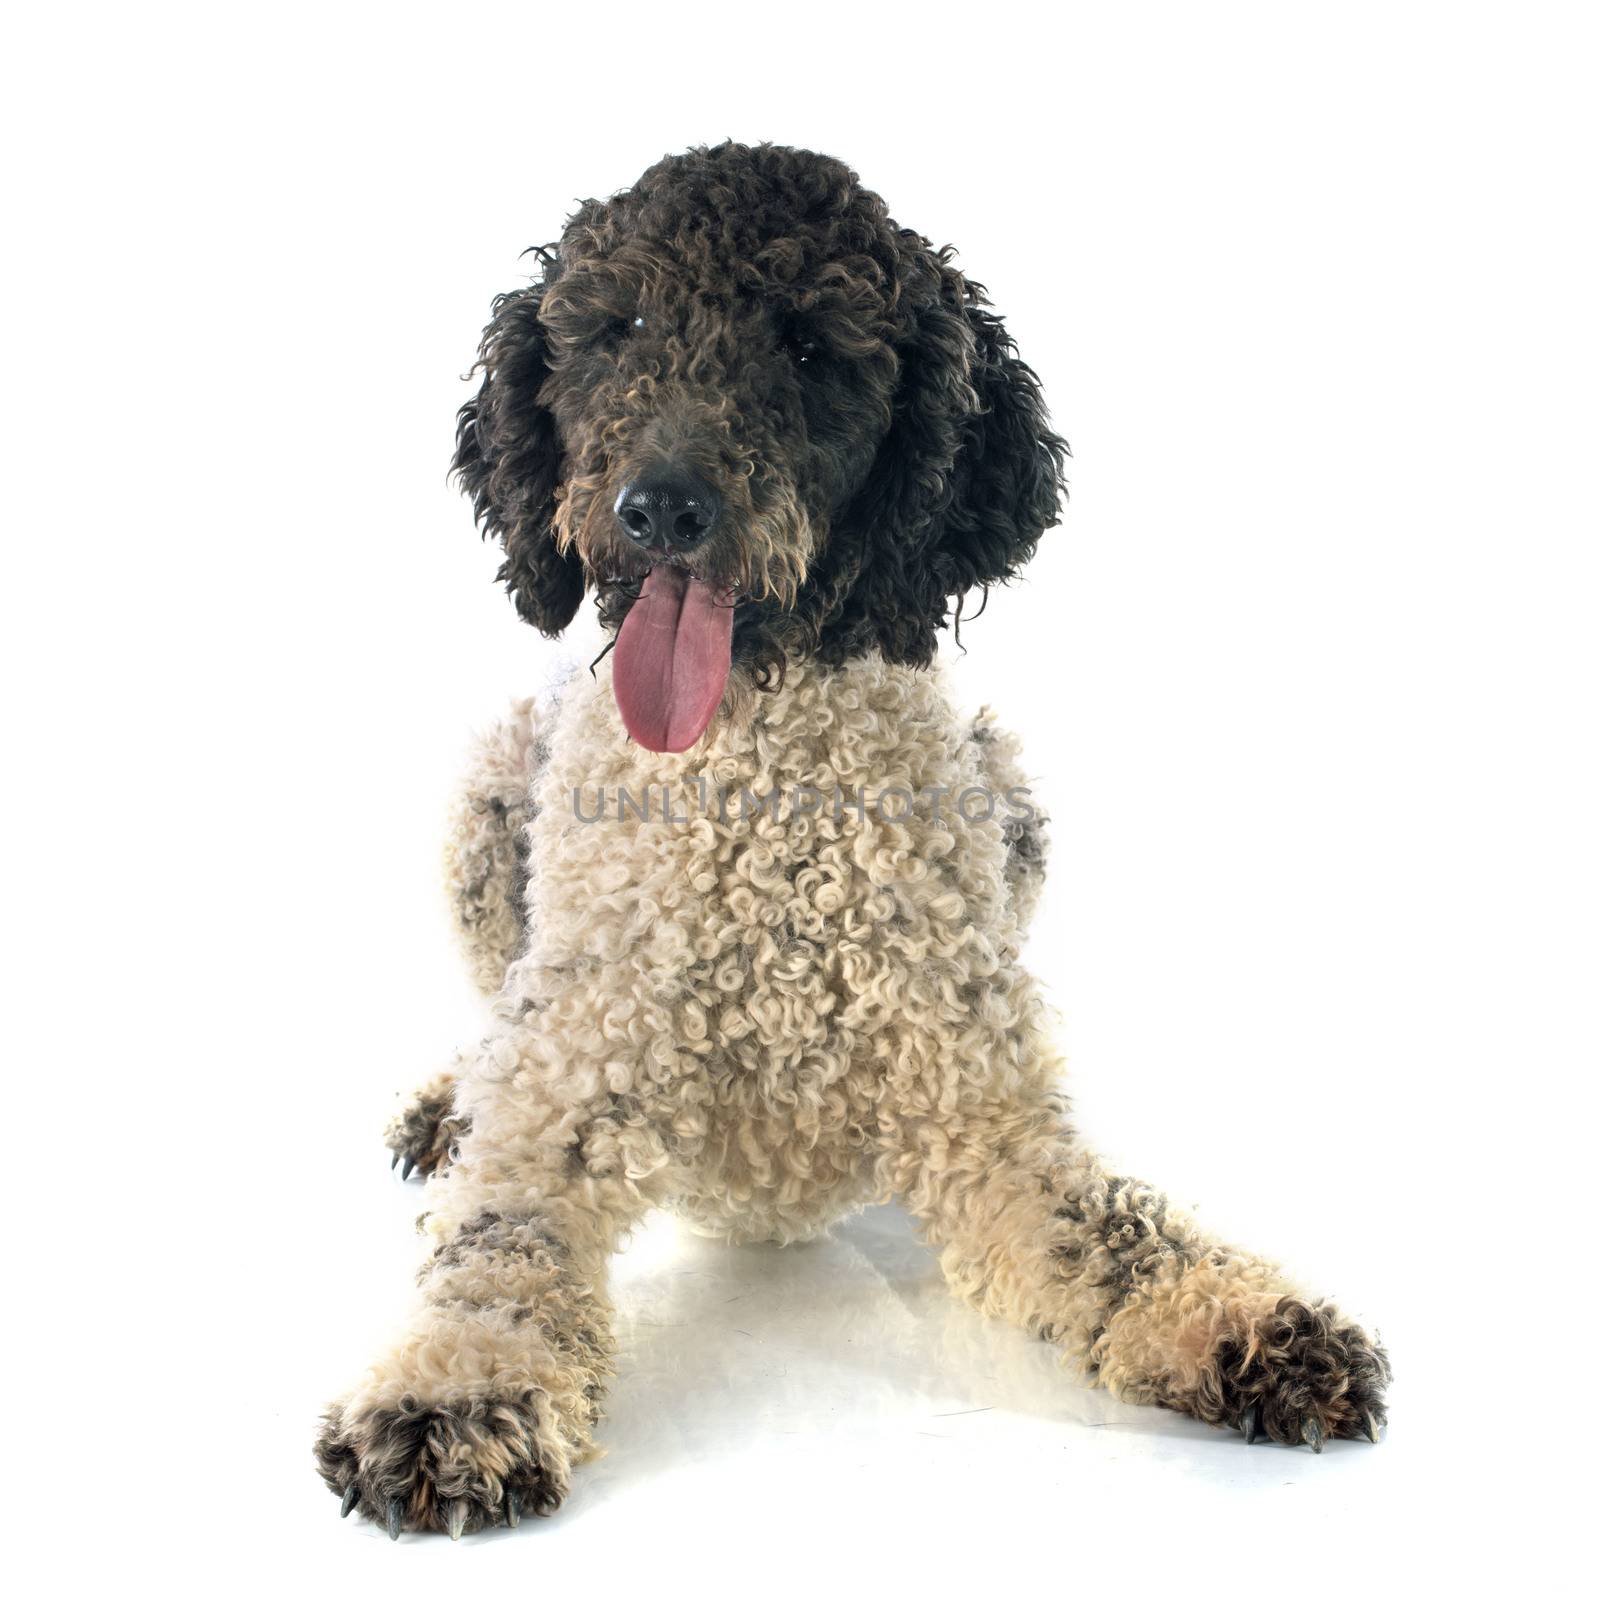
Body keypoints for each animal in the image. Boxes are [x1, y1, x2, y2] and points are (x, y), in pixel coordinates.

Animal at [312, 147, 1388, 1536]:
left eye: (814, 348)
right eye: (616, 328)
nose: (662, 508)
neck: (763, 826)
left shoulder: (985, 1115)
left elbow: (1117, 1232)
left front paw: (1247, 1320)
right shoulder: (566, 1099)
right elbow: (499, 1244)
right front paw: (453, 1390)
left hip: (1009, 793)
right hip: (492, 798)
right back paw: (453, 1094)